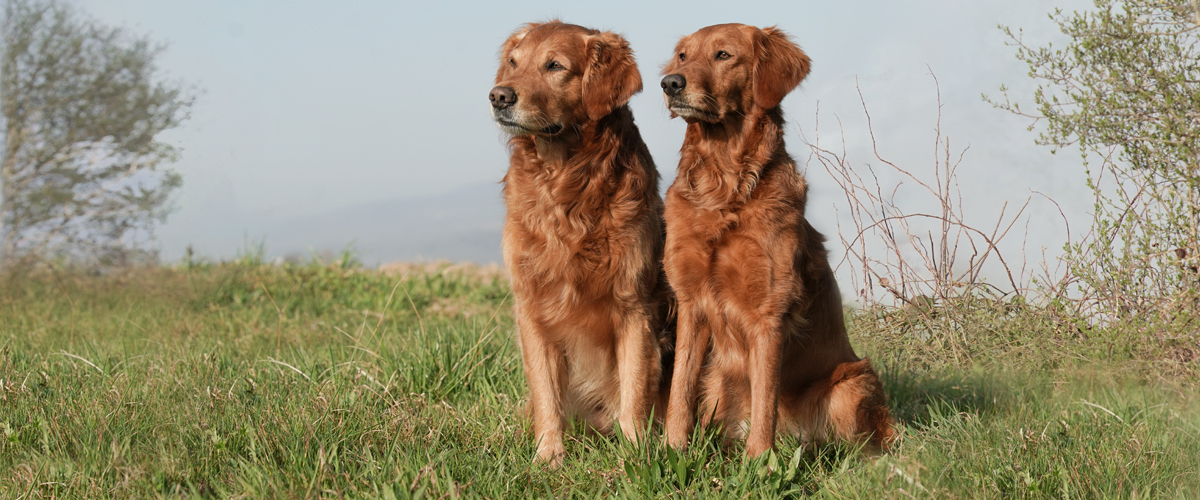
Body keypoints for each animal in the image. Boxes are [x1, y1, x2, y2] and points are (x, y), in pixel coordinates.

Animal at [489, 21, 672, 465]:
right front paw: (548, 457)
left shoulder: (635, 306)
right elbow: (546, 394)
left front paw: (635, 458)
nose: (499, 96)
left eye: (554, 66)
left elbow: (634, 389)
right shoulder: (531, 307)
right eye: (514, 63)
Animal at [657, 23, 892, 453]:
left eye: (723, 55)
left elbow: (765, 396)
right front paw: (671, 451)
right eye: (683, 55)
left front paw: (759, 460)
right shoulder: (691, 301)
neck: (724, 190)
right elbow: (680, 388)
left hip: (851, 385)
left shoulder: (770, 310)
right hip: (717, 381)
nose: (670, 83)